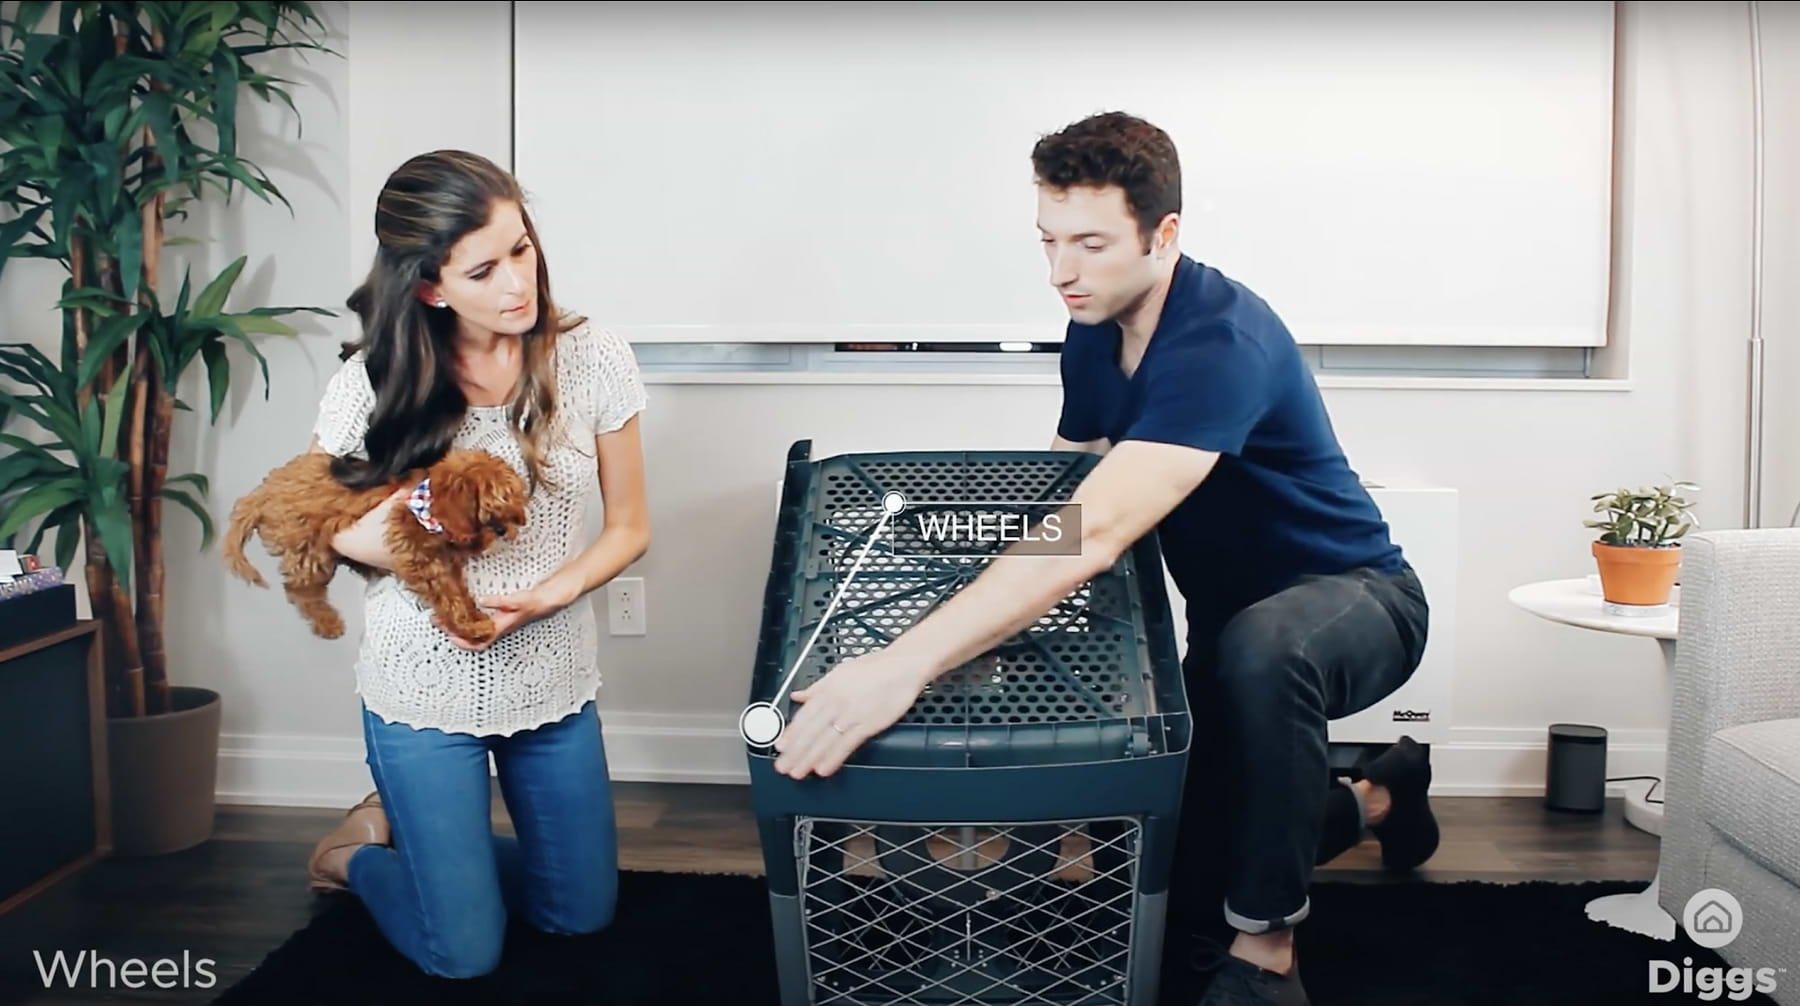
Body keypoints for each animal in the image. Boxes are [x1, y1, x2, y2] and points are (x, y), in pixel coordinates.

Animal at [224, 449, 525, 640]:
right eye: (486, 508)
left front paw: (474, 615)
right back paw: (328, 623)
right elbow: (447, 593)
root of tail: (263, 493)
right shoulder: (418, 553)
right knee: (300, 590)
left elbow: (458, 590)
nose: (503, 530)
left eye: (511, 508)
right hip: (310, 549)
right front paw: (470, 625)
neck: (426, 499)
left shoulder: (445, 559)